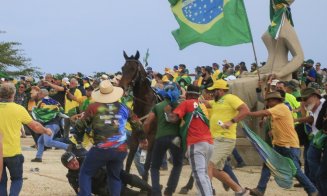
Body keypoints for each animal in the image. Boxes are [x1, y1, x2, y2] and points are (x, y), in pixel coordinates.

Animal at [120, 51, 158, 182]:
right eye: (122, 68)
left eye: (132, 69)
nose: (122, 87)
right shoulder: (135, 136)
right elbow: (129, 162)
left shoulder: (151, 138)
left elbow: (146, 165)